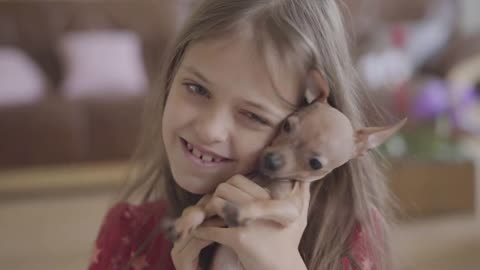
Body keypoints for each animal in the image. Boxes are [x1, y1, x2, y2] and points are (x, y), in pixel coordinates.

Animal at [164, 69, 404, 240]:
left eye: (315, 164)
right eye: (287, 126)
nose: (271, 160)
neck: (265, 179)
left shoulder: (290, 209)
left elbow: (265, 204)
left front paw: (243, 210)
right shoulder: (214, 194)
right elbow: (197, 208)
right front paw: (184, 221)